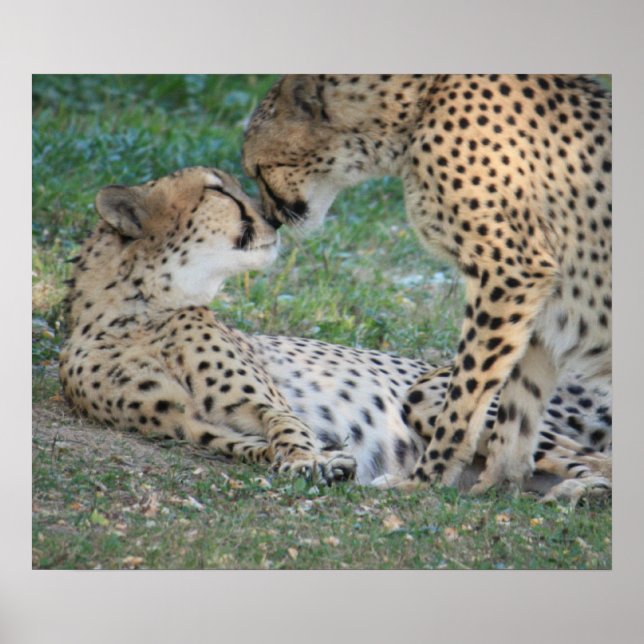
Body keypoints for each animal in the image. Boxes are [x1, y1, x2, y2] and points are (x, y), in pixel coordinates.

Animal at [59, 166, 610, 500]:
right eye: (217, 190)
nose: (274, 220)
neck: (136, 313)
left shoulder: (267, 402)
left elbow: (288, 429)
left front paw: (309, 460)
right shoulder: (188, 425)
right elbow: (251, 447)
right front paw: (326, 463)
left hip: (431, 393)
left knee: (595, 458)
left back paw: (582, 493)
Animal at [242, 74, 612, 494]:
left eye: (257, 169)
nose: (271, 220)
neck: (414, 109)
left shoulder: (511, 273)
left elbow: (468, 392)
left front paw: (425, 480)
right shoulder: (538, 296)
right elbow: (519, 405)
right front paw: (497, 484)